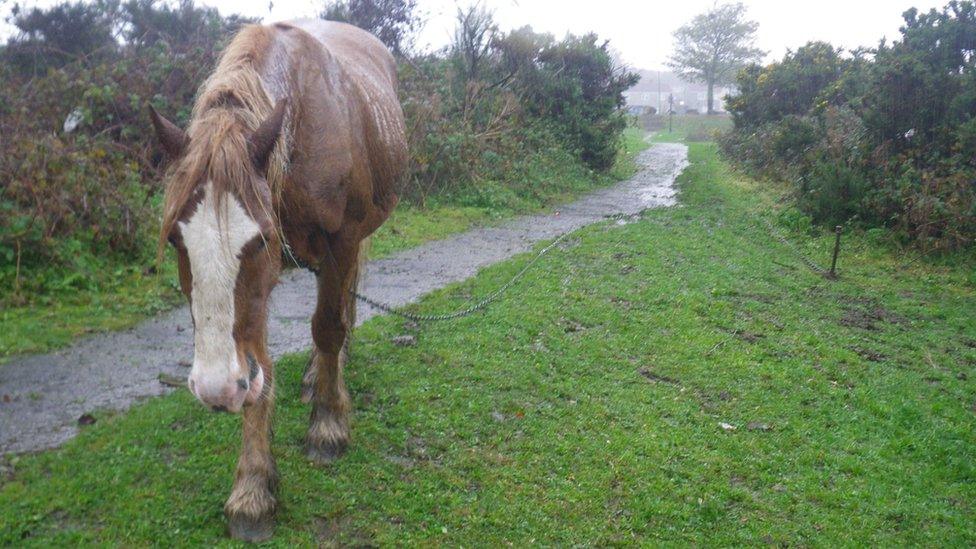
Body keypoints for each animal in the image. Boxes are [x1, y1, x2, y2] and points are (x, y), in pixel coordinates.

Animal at [148, 20, 404, 540]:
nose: (215, 390)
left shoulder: (341, 239)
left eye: (262, 237)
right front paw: (252, 489)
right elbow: (260, 369)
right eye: (176, 240)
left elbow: (328, 327)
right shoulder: (255, 305)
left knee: (340, 309)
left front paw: (328, 425)